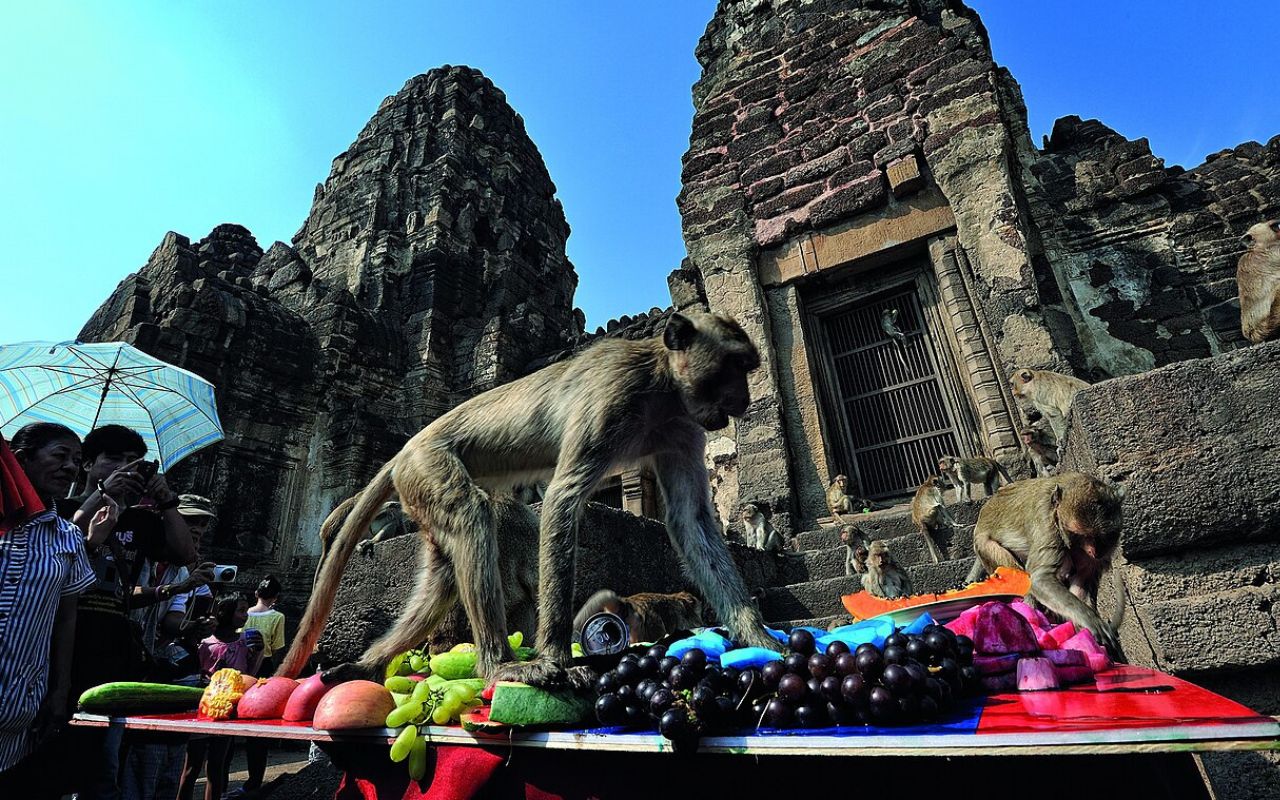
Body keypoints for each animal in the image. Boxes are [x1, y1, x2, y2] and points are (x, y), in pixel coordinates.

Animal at [964, 472, 1125, 652]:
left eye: (1102, 536)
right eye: (1080, 535)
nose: (1094, 552)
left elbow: (1082, 578)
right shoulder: (1046, 524)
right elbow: (1039, 579)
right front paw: (1090, 620)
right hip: (984, 545)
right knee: (1018, 575)